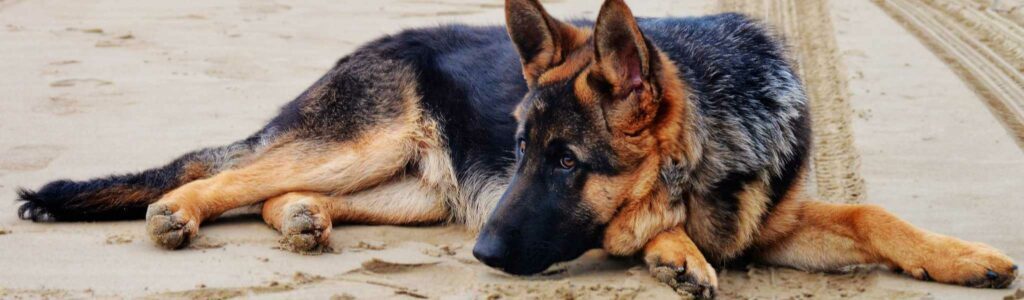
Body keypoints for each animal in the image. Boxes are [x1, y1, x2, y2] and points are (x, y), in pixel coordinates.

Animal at [14, 0, 1015, 294]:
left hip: (414, 191)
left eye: (565, 162)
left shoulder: (779, 222)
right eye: (528, 153)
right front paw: (673, 250)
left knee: (266, 190)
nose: (486, 255)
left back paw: (300, 222)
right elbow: (646, 226)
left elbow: (877, 215)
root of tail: (366, 47)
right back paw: (173, 213)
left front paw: (964, 255)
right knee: (223, 173)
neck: (716, 140)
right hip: (364, 143)